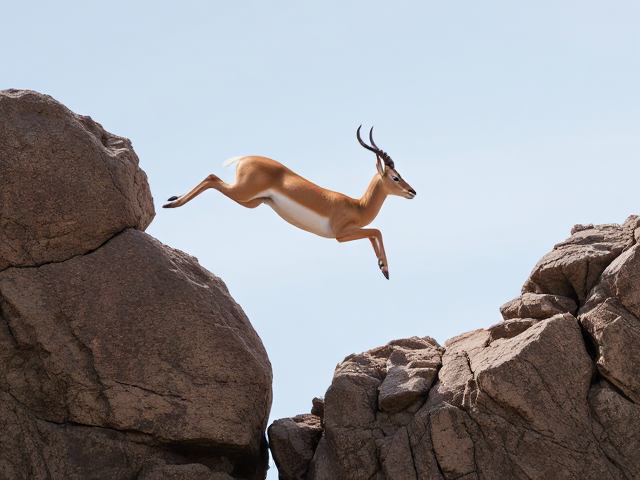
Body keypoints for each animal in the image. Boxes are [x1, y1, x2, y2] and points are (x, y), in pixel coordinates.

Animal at [162, 126, 416, 279]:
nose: (412, 191)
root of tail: (245, 158)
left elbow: (374, 235)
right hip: (243, 192)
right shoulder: (340, 235)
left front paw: (382, 269)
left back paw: (172, 200)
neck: (357, 205)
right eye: (395, 177)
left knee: (212, 179)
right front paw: (385, 268)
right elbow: (377, 231)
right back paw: (172, 204)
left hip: (254, 202)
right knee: (211, 177)